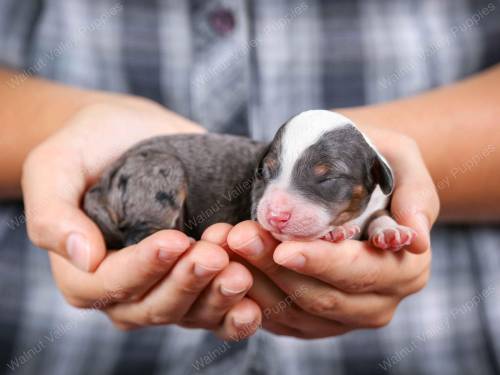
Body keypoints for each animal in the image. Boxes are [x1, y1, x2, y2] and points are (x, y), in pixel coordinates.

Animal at [85, 111, 414, 253]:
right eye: (264, 173)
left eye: (328, 177)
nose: (276, 216)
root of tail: (104, 179)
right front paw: (335, 232)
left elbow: (378, 215)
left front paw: (390, 231)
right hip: (161, 170)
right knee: (137, 235)